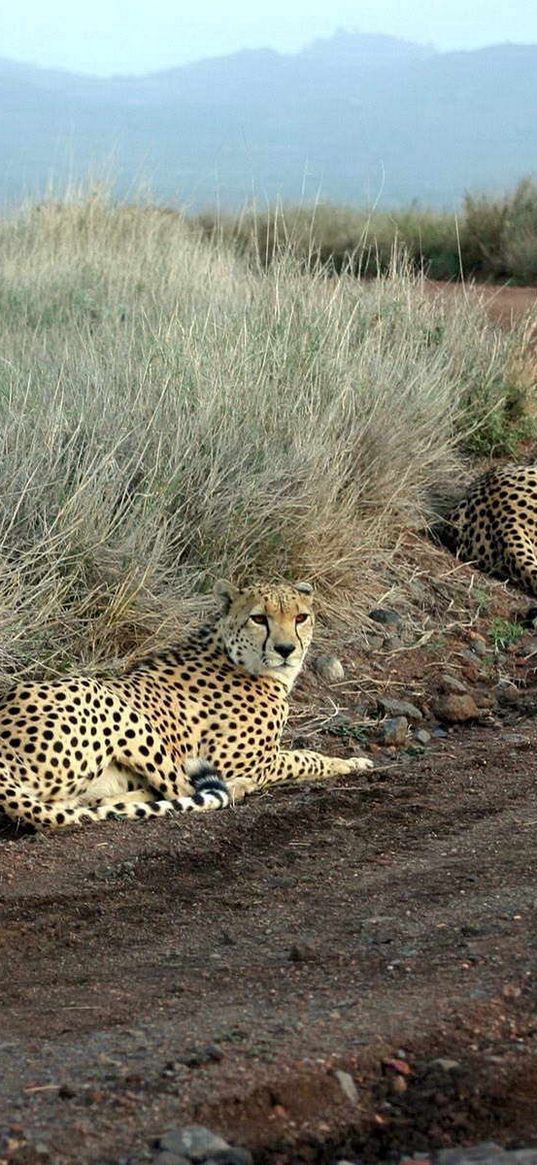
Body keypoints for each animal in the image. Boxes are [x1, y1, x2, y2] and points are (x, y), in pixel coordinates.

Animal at [0, 575, 370, 829]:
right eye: (259, 618)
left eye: (300, 618)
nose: (285, 649)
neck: (236, 656)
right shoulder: (237, 762)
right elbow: (304, 758)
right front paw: (350, 763)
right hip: (112, 703)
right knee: (181, 788)